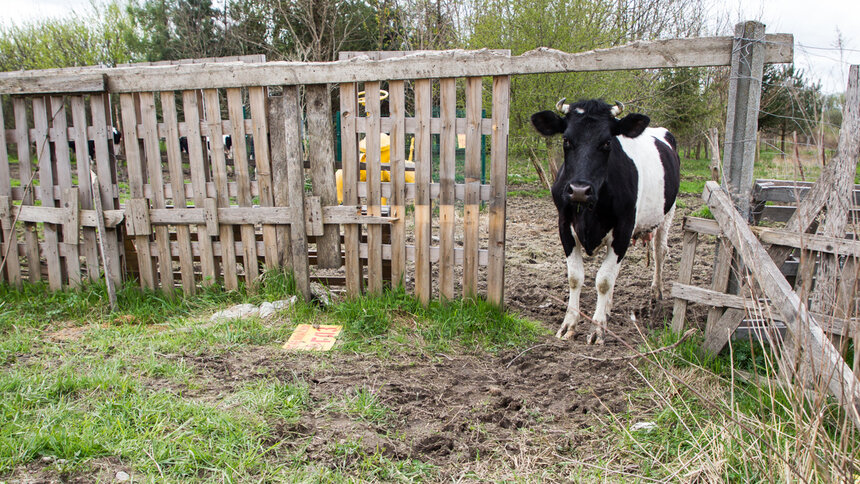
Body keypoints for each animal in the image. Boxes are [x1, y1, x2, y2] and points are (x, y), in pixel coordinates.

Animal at [532, 98, 680, 346]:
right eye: (566, 140)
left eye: (607, 142)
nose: (579, 190)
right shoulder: (564, 226)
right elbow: (575, 278)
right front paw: (569, 325)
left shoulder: (623, 230)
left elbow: (603, 280)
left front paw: (597, 329)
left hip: (667, 213)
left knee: (659, 251)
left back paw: (656, 294)